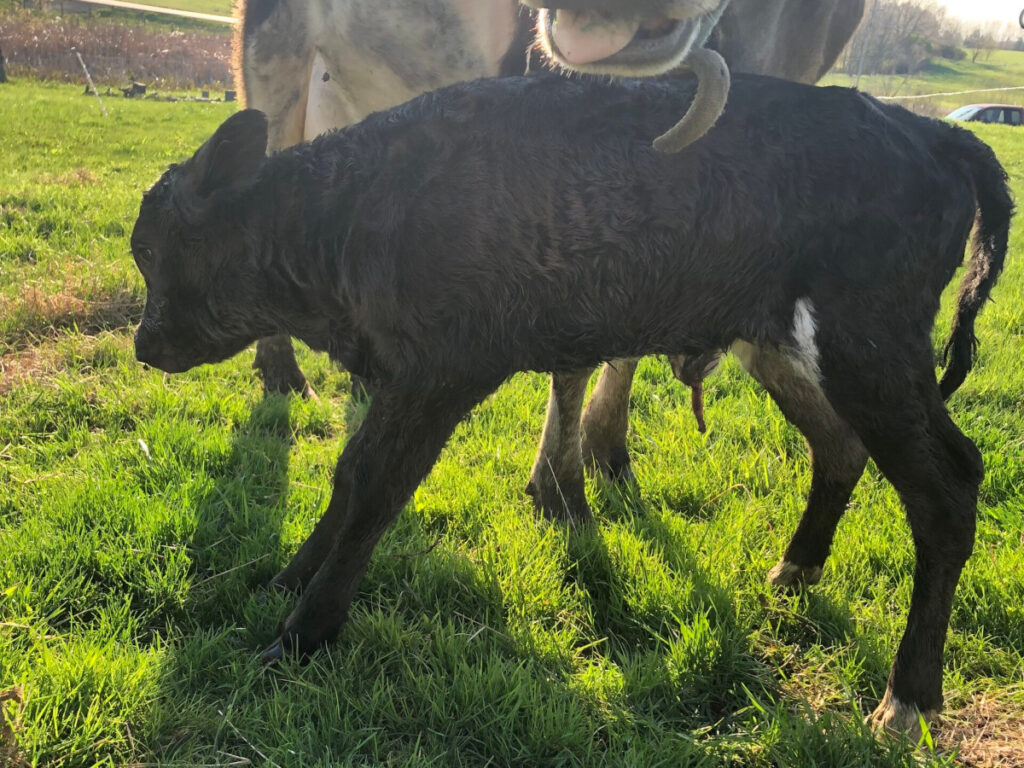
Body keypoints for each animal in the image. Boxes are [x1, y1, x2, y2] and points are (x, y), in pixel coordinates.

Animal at [131, 73, 1009, 739]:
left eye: (151, 249)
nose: (143, 344)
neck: (352, 210)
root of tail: (927, 132)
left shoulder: (441, 371)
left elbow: (377, 486)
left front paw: (303, 634)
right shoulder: (405, 378)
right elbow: (349, 478)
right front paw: (286, 582)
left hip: (871, 346)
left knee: (947, 485)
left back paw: (908, 699)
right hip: (788, 345)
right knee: (840, 446)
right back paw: (796, 569)